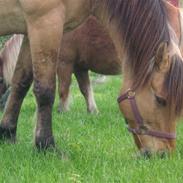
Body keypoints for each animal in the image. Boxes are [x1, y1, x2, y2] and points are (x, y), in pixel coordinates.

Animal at [0, 0, 182, 156]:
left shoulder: (37, 32)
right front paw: (45, 145)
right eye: (160, 99)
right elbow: (45, 90)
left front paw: (8, 133)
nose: (164, 154)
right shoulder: (44, 24)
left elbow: (21, 84)